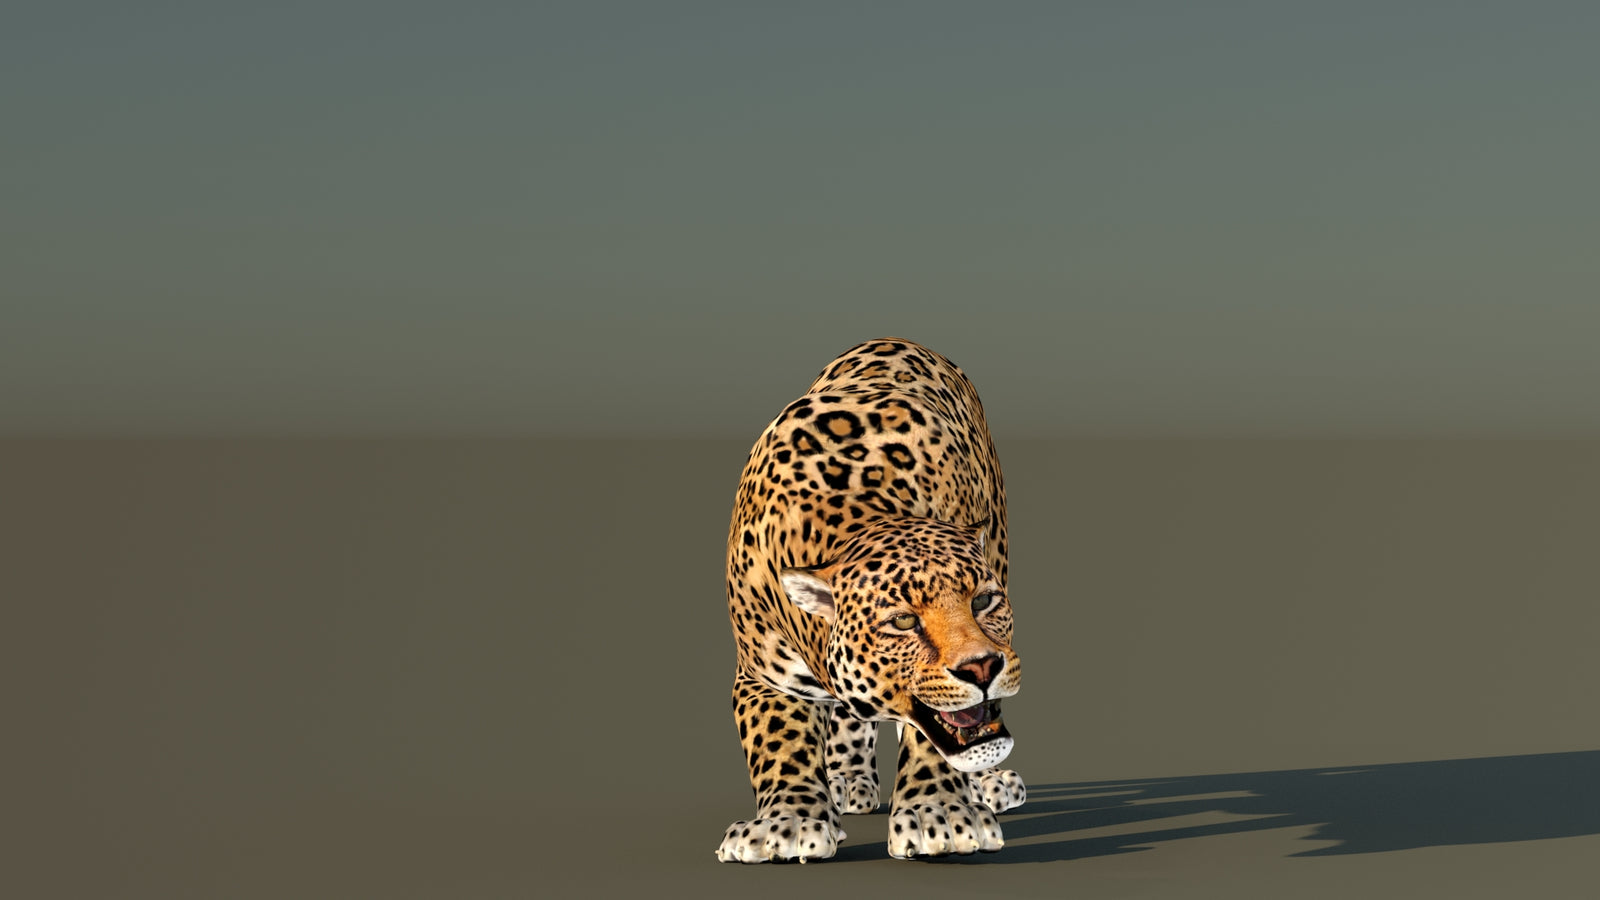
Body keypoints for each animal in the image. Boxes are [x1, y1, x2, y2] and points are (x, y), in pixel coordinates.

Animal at [716, 338, 1025, 864]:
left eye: (984, 601)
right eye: (902, 622)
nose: (983, 667)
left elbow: (931, 733)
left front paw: (937, 814)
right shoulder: (763, 676)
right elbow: (779, 743)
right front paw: (788, 823)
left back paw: (989, 782)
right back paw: (845, 778)